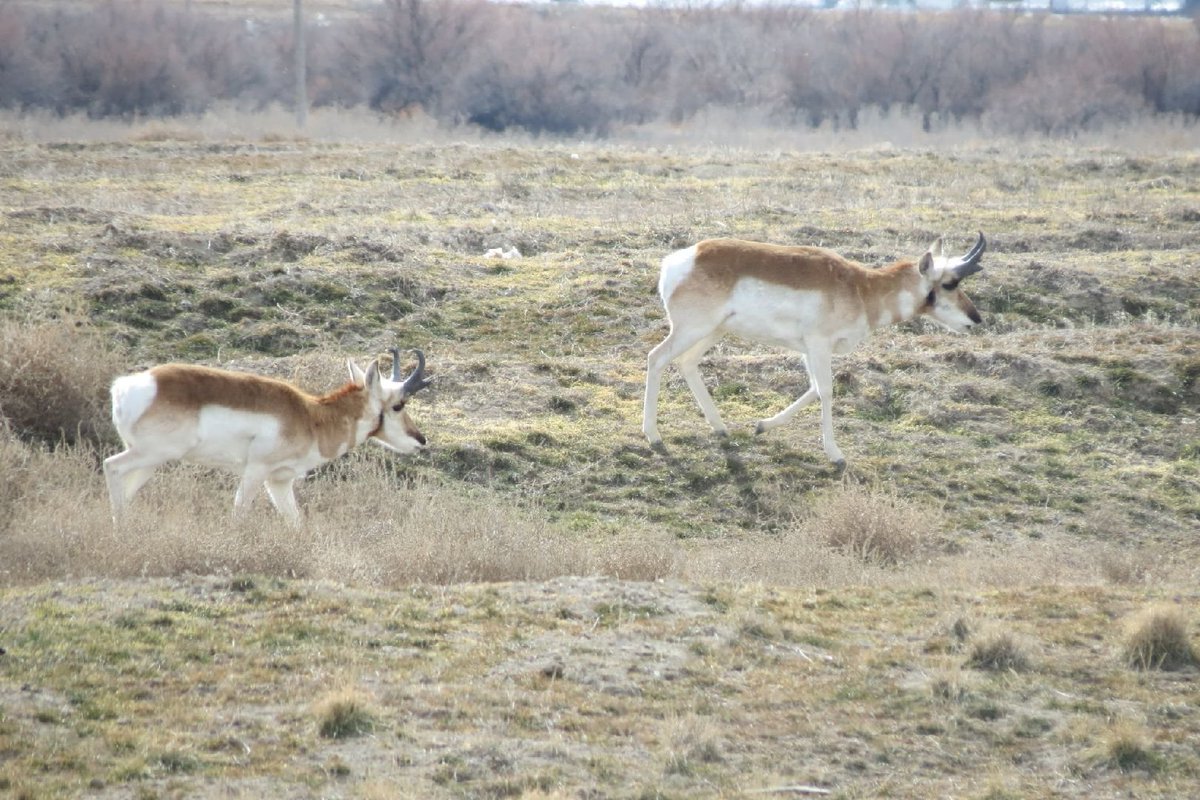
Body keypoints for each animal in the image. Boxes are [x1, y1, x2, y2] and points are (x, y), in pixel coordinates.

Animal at [103, 348, 432, 525]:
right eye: (399, 405)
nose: (421, 440)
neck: (310, 416)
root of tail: (127, 385)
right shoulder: (255, 471)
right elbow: (239, 513)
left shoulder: (279, 482)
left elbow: (296, 522)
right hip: (150, 454)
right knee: (111, 466)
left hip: (151, 462)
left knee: (125, 488)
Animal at [643, 233, 986, 467]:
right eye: (950, 283)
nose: (976, 319)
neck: (861, 288)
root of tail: (681, 259)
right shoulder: (819, 345)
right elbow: (827, 391)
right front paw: (836, 454)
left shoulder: (809, 350)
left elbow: (813, 389)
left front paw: (762, 425)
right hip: (692, 330)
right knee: (656, 358)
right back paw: (653, 436)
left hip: (712, 331)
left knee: (686, 363)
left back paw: (720, 428)